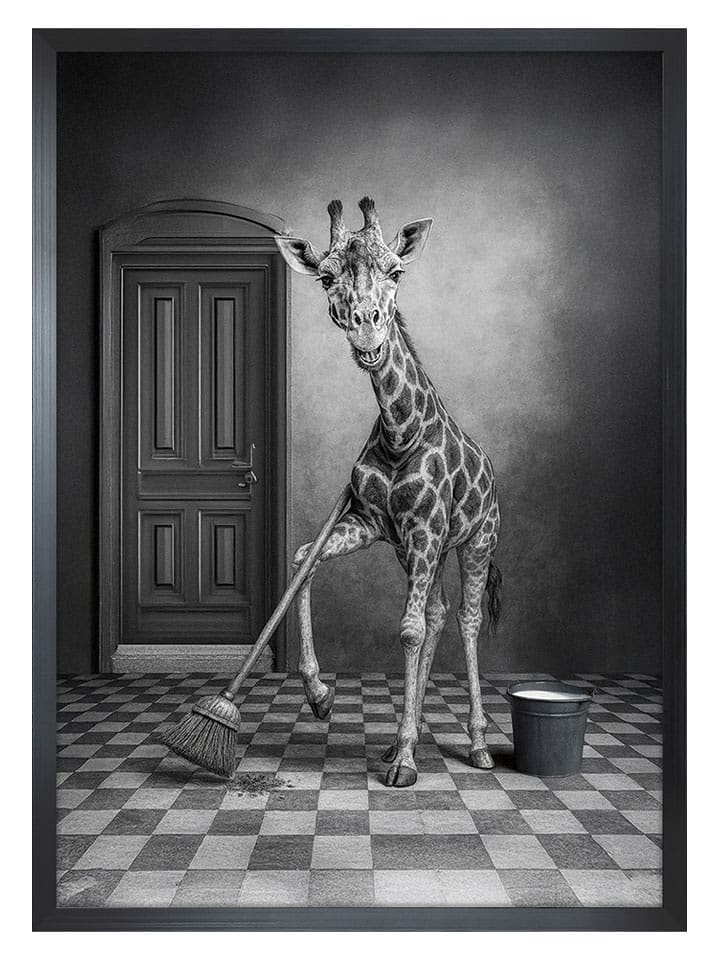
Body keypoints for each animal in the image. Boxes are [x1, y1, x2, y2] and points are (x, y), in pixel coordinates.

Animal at [275, 197, 502, 787]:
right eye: (326, 277)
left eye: (397, 272)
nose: (366, 335)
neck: (402, 432)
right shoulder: (375, 525)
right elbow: (304, 560)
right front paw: (320, 695)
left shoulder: (425, 530)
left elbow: (407, 631)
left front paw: (404, 761)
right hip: (421, 551)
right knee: (439, 613)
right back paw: (412, 732)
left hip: (476, 541)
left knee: (466, 620)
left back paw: (477, 743)